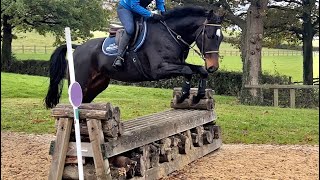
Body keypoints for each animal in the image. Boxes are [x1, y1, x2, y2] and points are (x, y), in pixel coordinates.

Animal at [45, 6, 224, 108]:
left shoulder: (177, 63)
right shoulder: (160, 69)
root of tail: (77, 48)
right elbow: (187, 71)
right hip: (80, 82)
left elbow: (198, 70)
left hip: (98, 84)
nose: (213, 66)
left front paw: (199, 96)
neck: (170, 33)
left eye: (221, 37)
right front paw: (183, 96)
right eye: (209, 36)